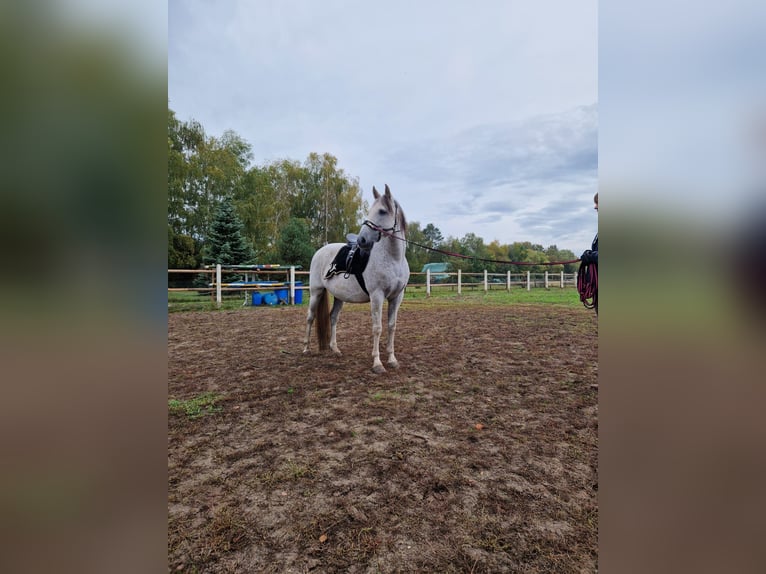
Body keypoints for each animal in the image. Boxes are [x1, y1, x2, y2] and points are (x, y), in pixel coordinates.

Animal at [304, 184, 412, 374]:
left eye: (382, 211)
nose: (362, 240)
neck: (393, 259)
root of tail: (320, 251)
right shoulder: (377, 296)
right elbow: (377, 328)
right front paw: (377, 363)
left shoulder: (396, 297)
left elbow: (391, 326)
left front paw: (392, 359)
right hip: (316, 292)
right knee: (310, 317)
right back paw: (306, 348)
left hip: (338, 296)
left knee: (333, 318)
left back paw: (335, 349)